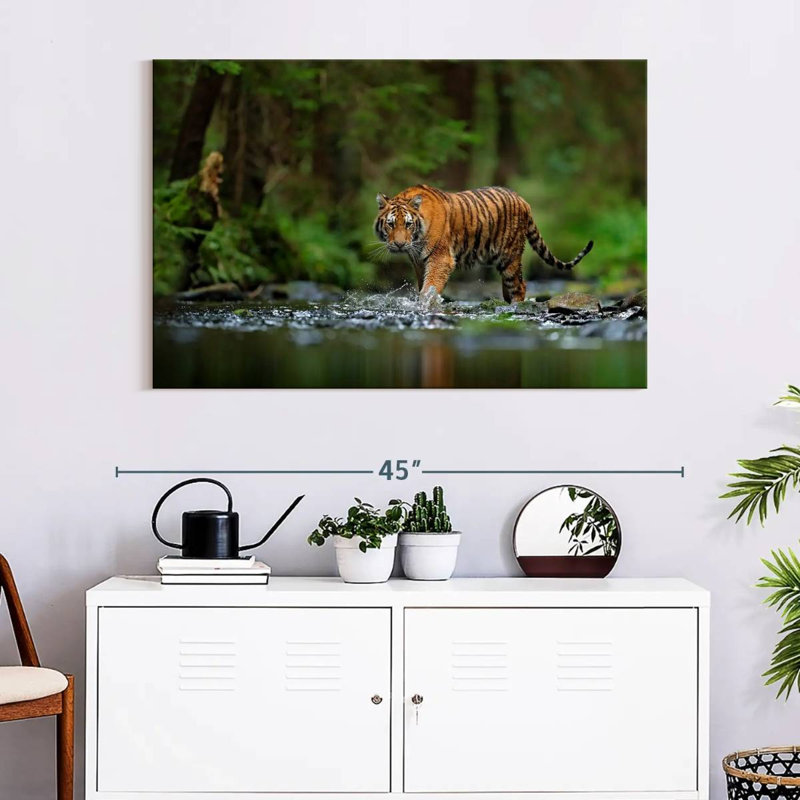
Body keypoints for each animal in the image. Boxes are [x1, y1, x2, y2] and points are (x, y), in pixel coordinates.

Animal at [374, 184, 593, 303]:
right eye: (391, 224)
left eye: (408, 224)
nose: (399, 245)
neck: (416, 240)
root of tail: (523, 200)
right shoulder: (419, 262)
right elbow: (423, 285)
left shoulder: (441, 258)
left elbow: (430, 287)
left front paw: (426, 304)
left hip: (510, 257)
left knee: (519, 285)